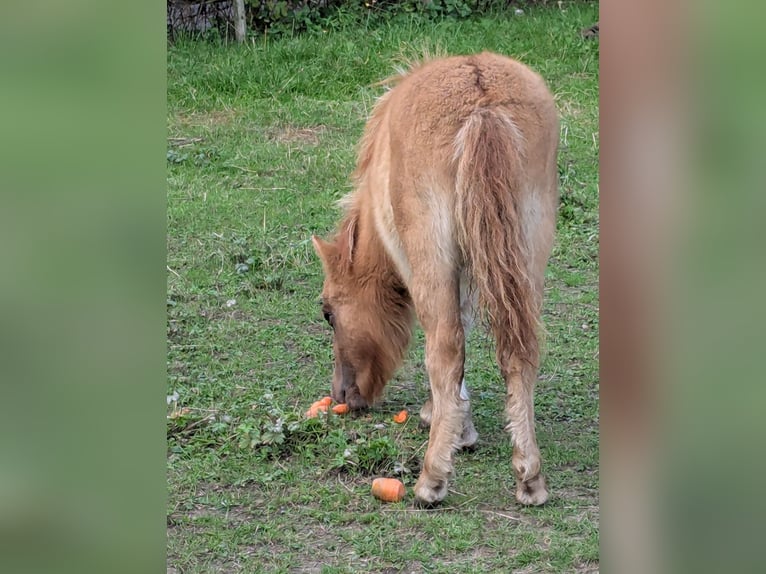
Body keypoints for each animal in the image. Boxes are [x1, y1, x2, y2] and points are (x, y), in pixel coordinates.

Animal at [311, 52, 559, 507]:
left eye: (328, 313)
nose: (342, 396)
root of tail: (482, 104)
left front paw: (449, 425)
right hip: (528, 254)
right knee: (520, 351)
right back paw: (530, 479)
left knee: (444, 346)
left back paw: (431, 481)